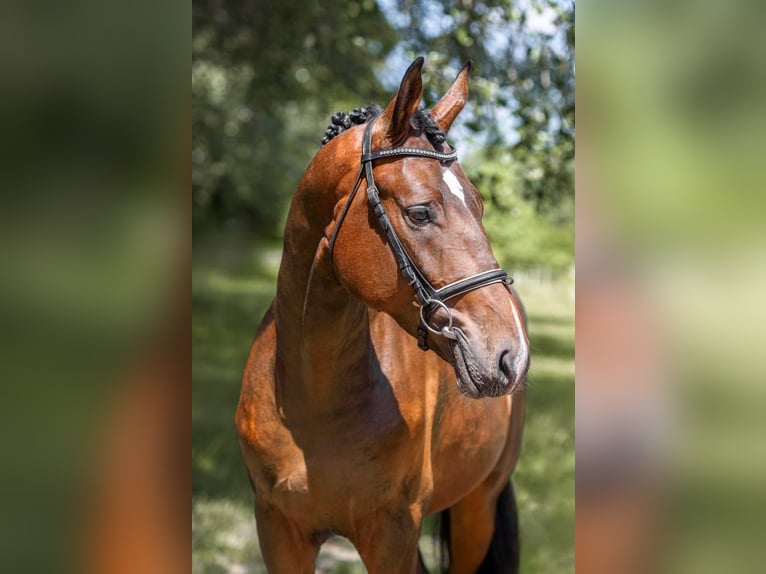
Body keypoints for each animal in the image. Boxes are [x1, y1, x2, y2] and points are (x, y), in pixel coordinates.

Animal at [237, 56, 532, 572]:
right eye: (419, 212)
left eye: (478, 206)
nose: (510, 356)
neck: (312, 403)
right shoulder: (277, 530)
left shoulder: (392, 533)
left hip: (476, 508)